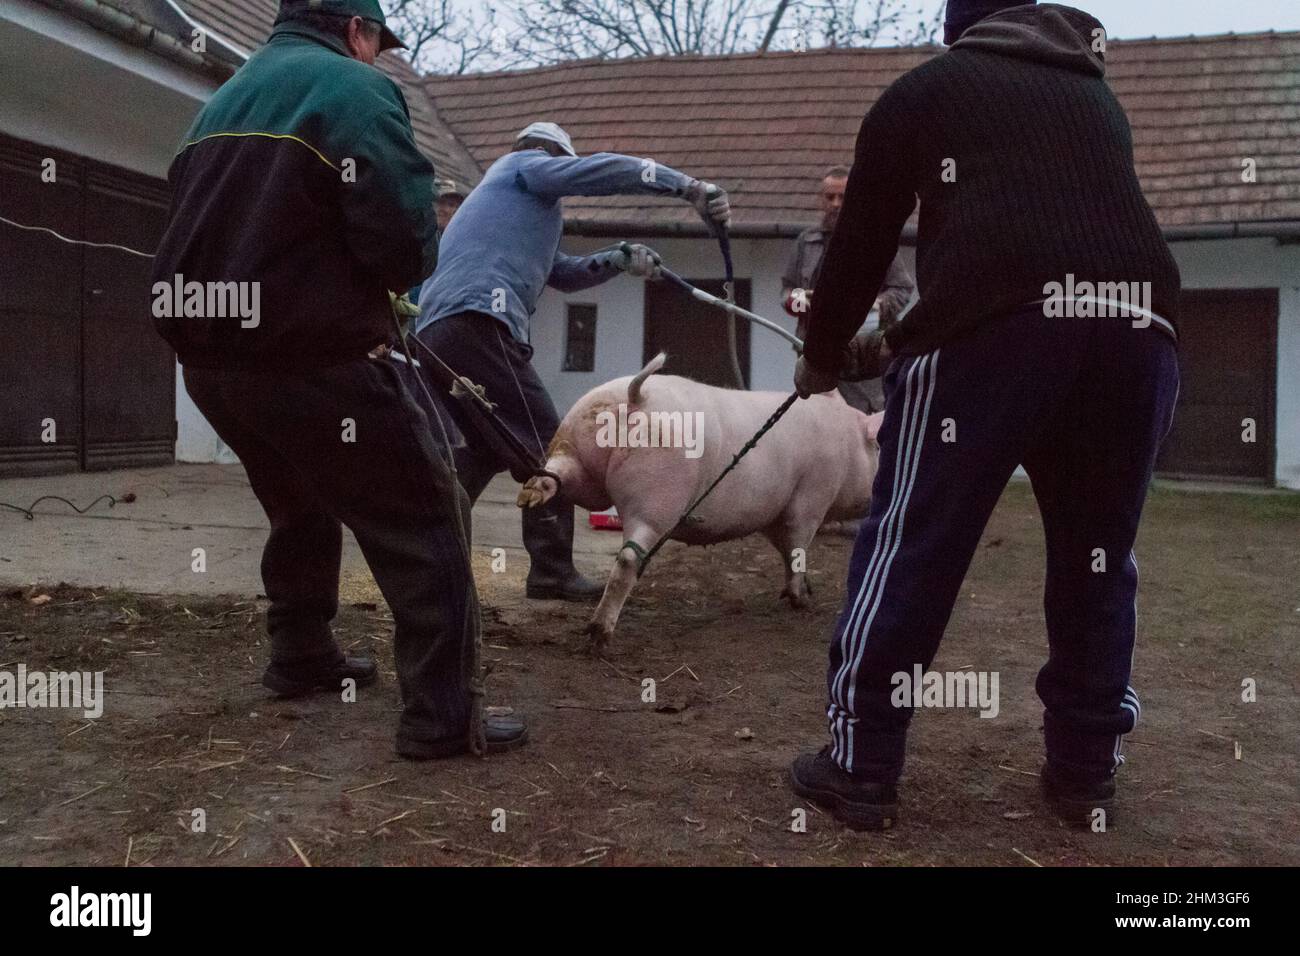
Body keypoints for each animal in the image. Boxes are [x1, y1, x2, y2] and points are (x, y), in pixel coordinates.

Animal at [517, 353, 883, 650]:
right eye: (878, 446)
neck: (847, 442)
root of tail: (636, 397)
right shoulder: (812, 495)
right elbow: (797, 549)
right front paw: (800, 601)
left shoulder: (772, 514)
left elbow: (784, 550)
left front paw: (803, 590)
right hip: (657, 497)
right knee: (628, 560)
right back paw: (599, 635)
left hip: (576, 454)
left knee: (556, 474)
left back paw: (531, 494)